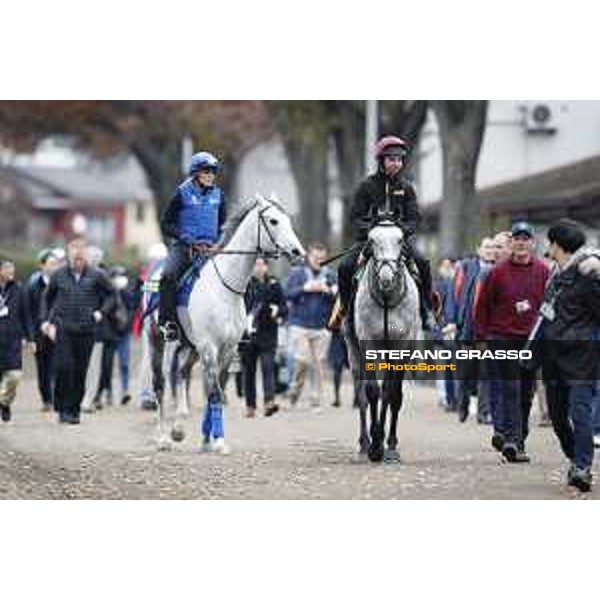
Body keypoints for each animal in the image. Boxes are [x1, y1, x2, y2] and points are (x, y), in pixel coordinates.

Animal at [156, 195, 304, 452]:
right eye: (273, 220)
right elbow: (214, 392)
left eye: (287, 219)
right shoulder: (209, 348)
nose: (297, 251)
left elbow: (215, 391)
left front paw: (208, 439)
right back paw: (165, 438)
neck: (223, 288)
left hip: (191, 348)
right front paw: (218, 441)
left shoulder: (227, 350)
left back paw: (178, 429)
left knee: (183, 373)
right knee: (165, 380)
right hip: (170, 344)